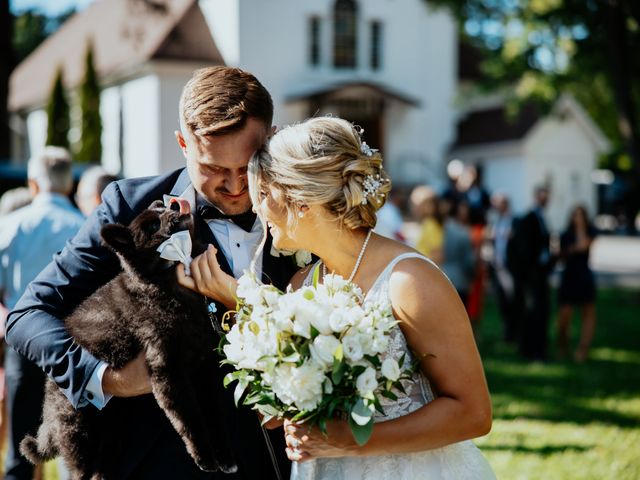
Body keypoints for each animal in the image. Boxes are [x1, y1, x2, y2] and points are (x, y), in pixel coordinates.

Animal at [22, 199, 239, 476]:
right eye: (152, 226)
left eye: (164, 209)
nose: (175, 208)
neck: (166, 282)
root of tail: (50, 389)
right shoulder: (168, 372)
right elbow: (190, 422)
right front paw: (205, 458)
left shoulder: (203, 368)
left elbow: (214, 417)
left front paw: (224, 457)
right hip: (80, 435)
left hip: (112, 432)